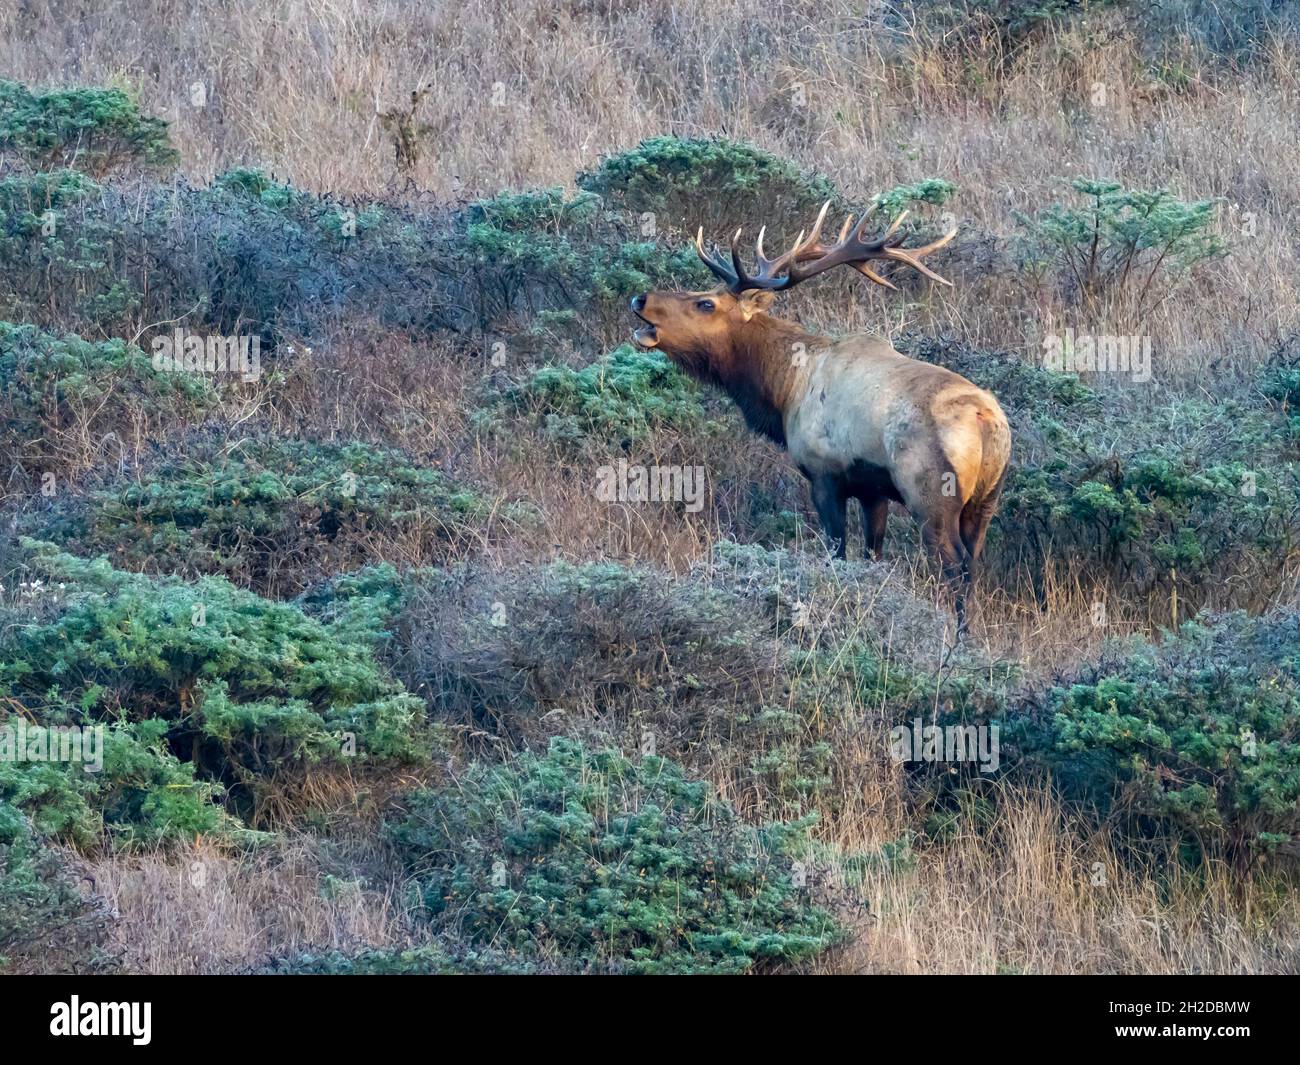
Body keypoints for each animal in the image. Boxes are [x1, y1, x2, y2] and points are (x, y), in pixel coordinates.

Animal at [631, 204, 1013, 629]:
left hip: (930, 493)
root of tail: (986, 420)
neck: (783, 390)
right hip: (987, 499)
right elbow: (872, 554)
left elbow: (837, 551)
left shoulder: (825, 473)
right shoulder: (871, 489)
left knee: (954, 566)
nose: (640, 298)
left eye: (705, 304)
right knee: (973, 562)